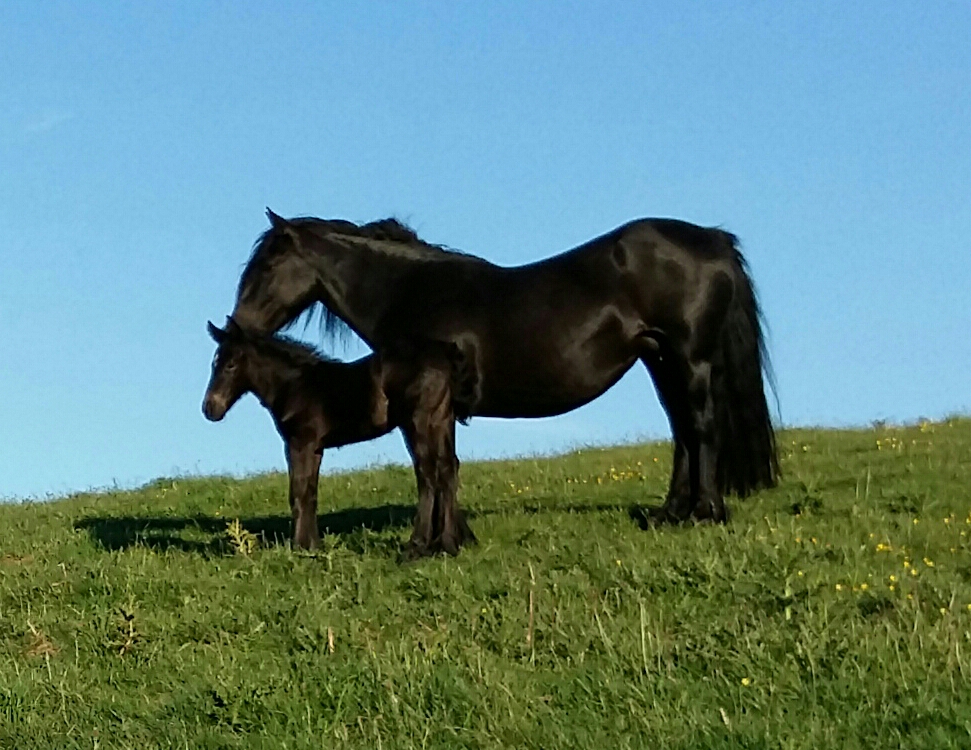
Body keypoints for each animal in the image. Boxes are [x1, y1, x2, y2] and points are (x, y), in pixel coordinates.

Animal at [203, 318, 476, 560]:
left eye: (230, 365)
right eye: (213, 363)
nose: (209, 409)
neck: (295, 385)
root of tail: (444, 354)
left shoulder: (299, 442)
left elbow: (298, 492)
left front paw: (300, 546)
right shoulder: (315, 448)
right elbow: (310, 492)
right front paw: (313, 545)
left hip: (417, 421)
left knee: (428, 472)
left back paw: (417, 546)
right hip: (442, 420)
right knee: (448, 468)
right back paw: (451, 543)